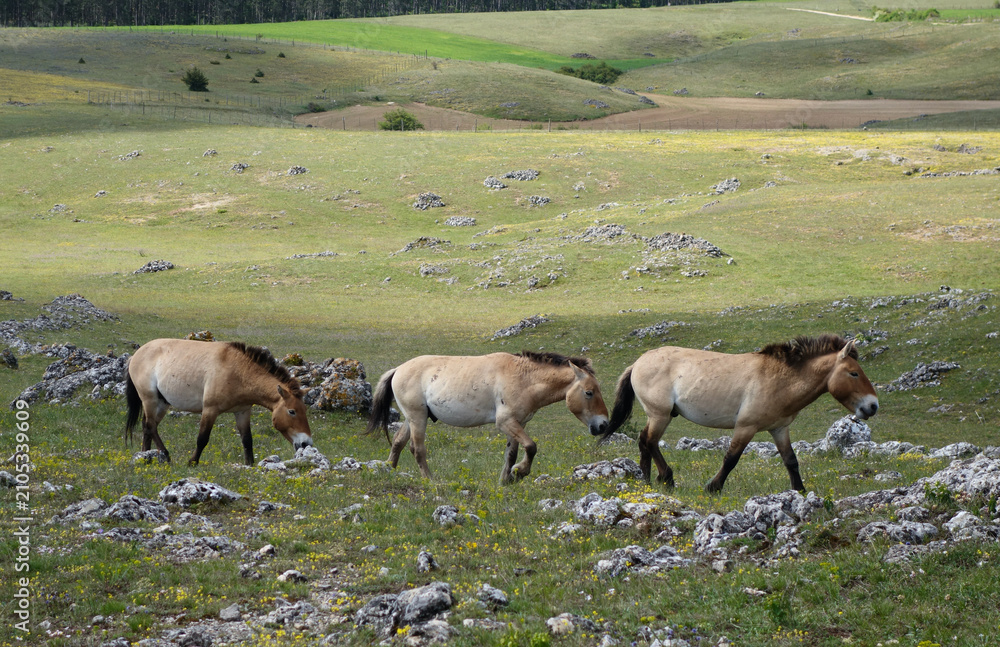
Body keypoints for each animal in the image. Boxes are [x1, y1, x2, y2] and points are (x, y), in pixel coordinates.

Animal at [125, 338, 313, 466]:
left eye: (304, 410)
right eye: (292, 411)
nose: (306, 444)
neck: (238, 372)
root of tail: (137, 354)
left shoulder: (243, 411)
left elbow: (247, 439)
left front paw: (250, 464)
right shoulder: (210, 410)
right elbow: (202, 439)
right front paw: (192, 462)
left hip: (162, 403)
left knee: (147, 426)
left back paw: (146, 455)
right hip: (149, 399)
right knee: (150, 426)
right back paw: (165, 455)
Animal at [366, 351, 610, 484]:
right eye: (589, 392)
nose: (603, 425)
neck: (523, 378)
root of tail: (398, 369)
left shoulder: (517, 424)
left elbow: (511, 454)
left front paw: (506, 480)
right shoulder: (506, 422)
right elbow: (531, 447)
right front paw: (520, 472)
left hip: (413, 418)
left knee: (398, 442)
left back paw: (389, 471)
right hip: (417, 419)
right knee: (417, 450)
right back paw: (431, 481)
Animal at [602, 334, 878, 493]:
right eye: (854, 373)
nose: (873, 406)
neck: (780, 379)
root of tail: (637, 363)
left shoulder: (779, 428)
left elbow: (791, 461)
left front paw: (799, 491)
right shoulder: (746, 427)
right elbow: (731, 459)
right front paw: (713, 488)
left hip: (658, 416)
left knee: (643, 441)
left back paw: (647, 481)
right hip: (661, 415)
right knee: (649, 441)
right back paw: (667, 479)